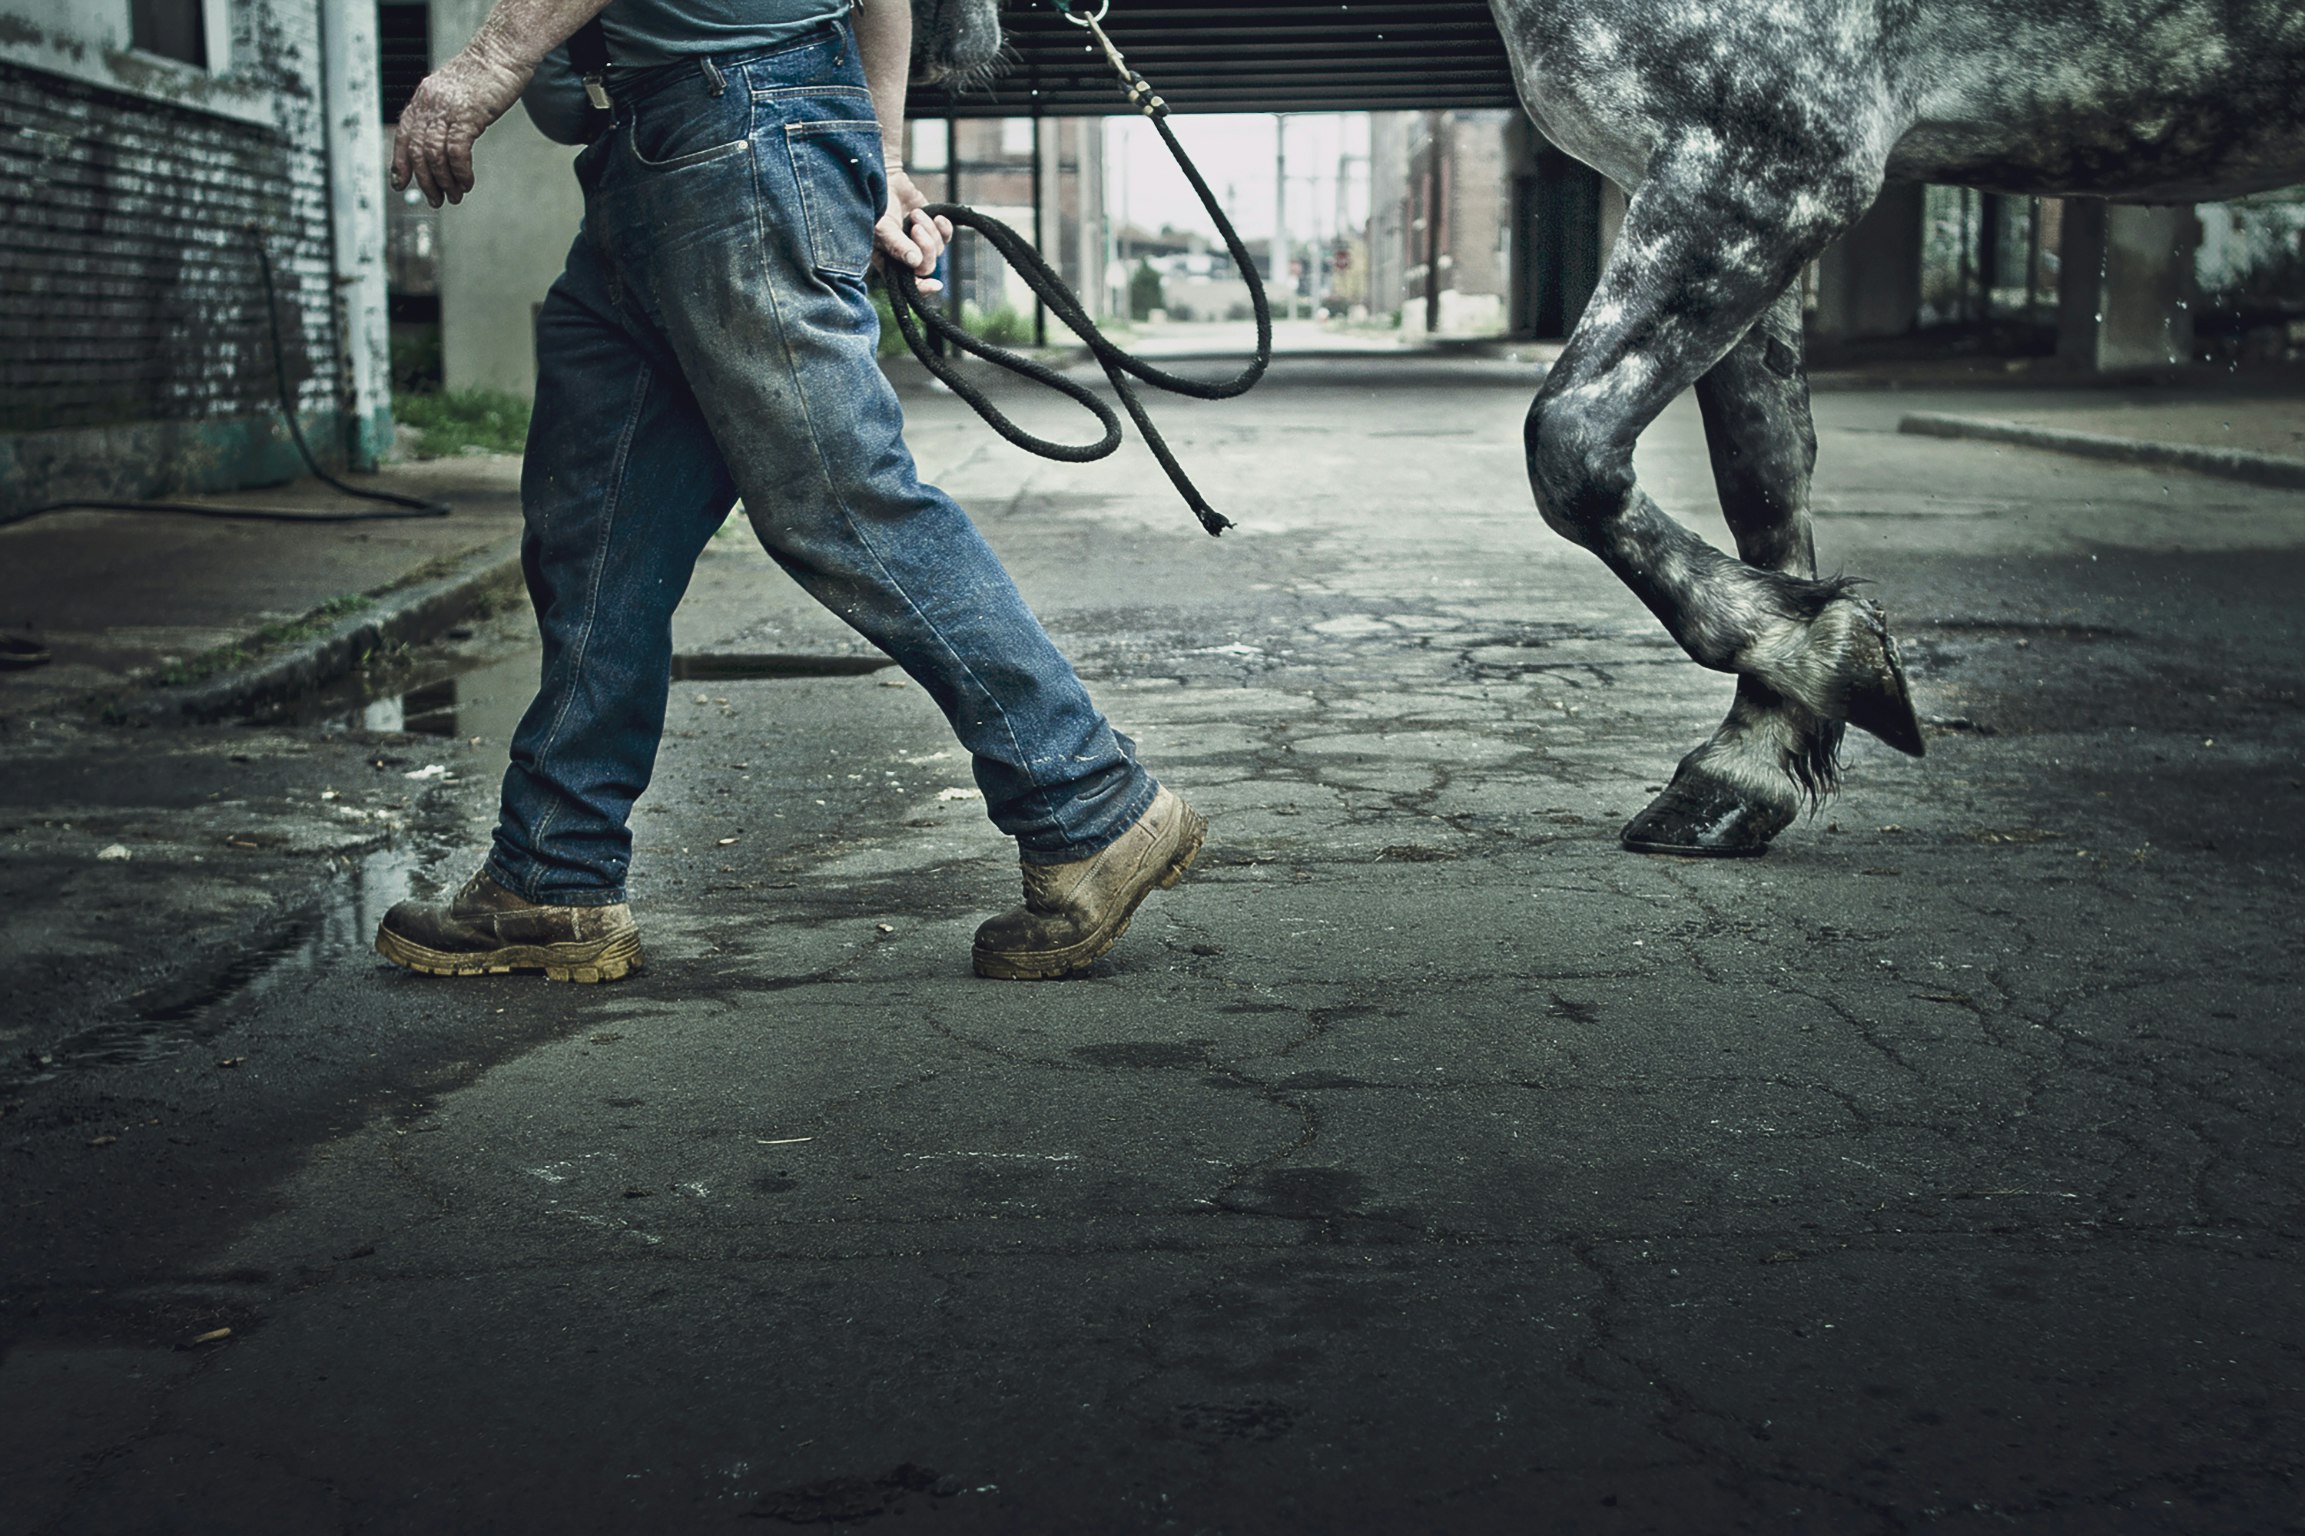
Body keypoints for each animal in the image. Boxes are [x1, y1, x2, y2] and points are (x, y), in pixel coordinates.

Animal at [922, 0, 2305, 848]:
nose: (931, 54)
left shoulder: (1764, 158)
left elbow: (1573, 450)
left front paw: (1836, 662)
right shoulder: (1727, 183)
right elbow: (1764, 485)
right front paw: (1750, 758)